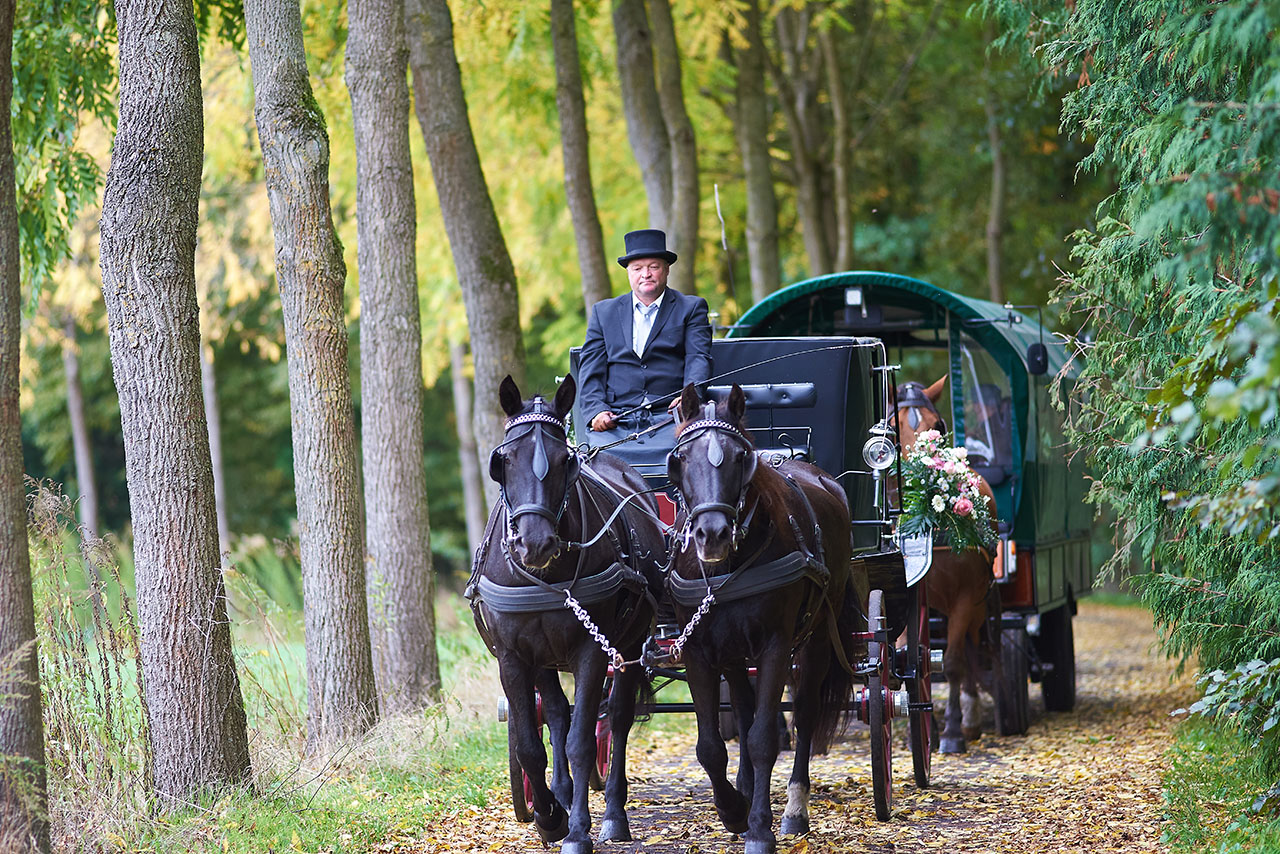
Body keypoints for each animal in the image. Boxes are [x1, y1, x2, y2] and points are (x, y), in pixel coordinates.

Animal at [471, 376, 670, 854]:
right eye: (503, 461)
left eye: (566, 461)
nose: (535, 544)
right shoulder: (514, 656)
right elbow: (530, 744)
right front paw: (549, 818)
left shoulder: (591, 651)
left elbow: (583, 742)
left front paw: (578, 830)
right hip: (545, 658)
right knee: (558, 715)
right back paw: (559, 797)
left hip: (628, 643)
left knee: (617, 718)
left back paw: (614, 814)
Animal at [665, 386, 865, 854]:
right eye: (681, 458)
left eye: (741, 457)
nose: (712, 534)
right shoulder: (699, 649)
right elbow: (710, 746)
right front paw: (733, 809)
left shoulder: (776, 644)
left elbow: (762, 739)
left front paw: (759, 827)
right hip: (735, 652)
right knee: (742, 706)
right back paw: (745, 787)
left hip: (816, 637)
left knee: (805, 712)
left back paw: (794, 808)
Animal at [896, 376, 1003, 752]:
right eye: (892, 425)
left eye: (937, 427)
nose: (916, 476)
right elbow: (907, 655)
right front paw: (917, 731)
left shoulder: (966, 597)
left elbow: (954, 661)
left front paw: (954, 731)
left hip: (977, 603)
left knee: (970, 646)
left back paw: (969, 717)